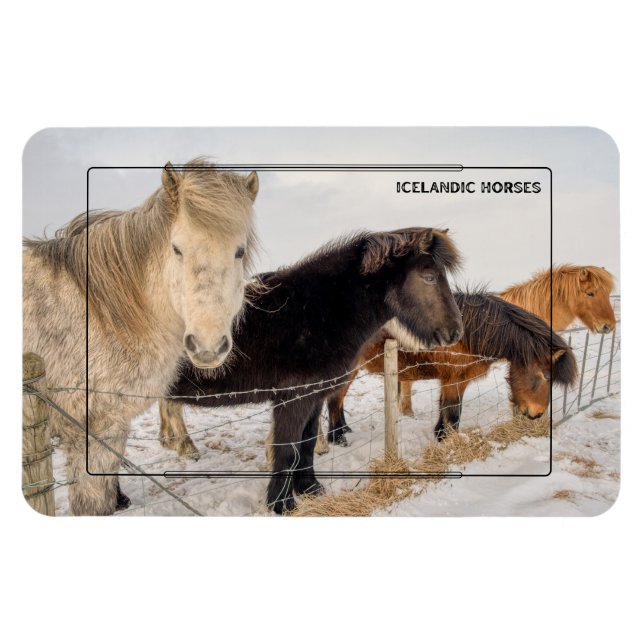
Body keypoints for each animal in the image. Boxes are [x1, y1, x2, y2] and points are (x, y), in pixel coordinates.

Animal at [23, 158, 259, 515]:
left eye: (239, 251)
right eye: (177, 249)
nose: (207, 347)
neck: (101, 312)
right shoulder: (93, 431)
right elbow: (93, 505)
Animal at [155, 228, 464, 514]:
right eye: (429, 277)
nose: (455, 332)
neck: (314, 311)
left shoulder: (313, 397)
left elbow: (306, 445)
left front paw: (310, 489)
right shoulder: (293, 400)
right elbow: (287, 450)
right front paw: (282, 504)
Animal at [324, 291, 578, 445]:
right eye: (544, 376)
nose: (537, 415)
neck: (471, 334)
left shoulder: (453, 380)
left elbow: (448, 410)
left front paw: (441, 435)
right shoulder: (455, 379)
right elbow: (453, 413)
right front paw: (447, 440)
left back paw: (344, 430)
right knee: (335, 400)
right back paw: (337, 438)